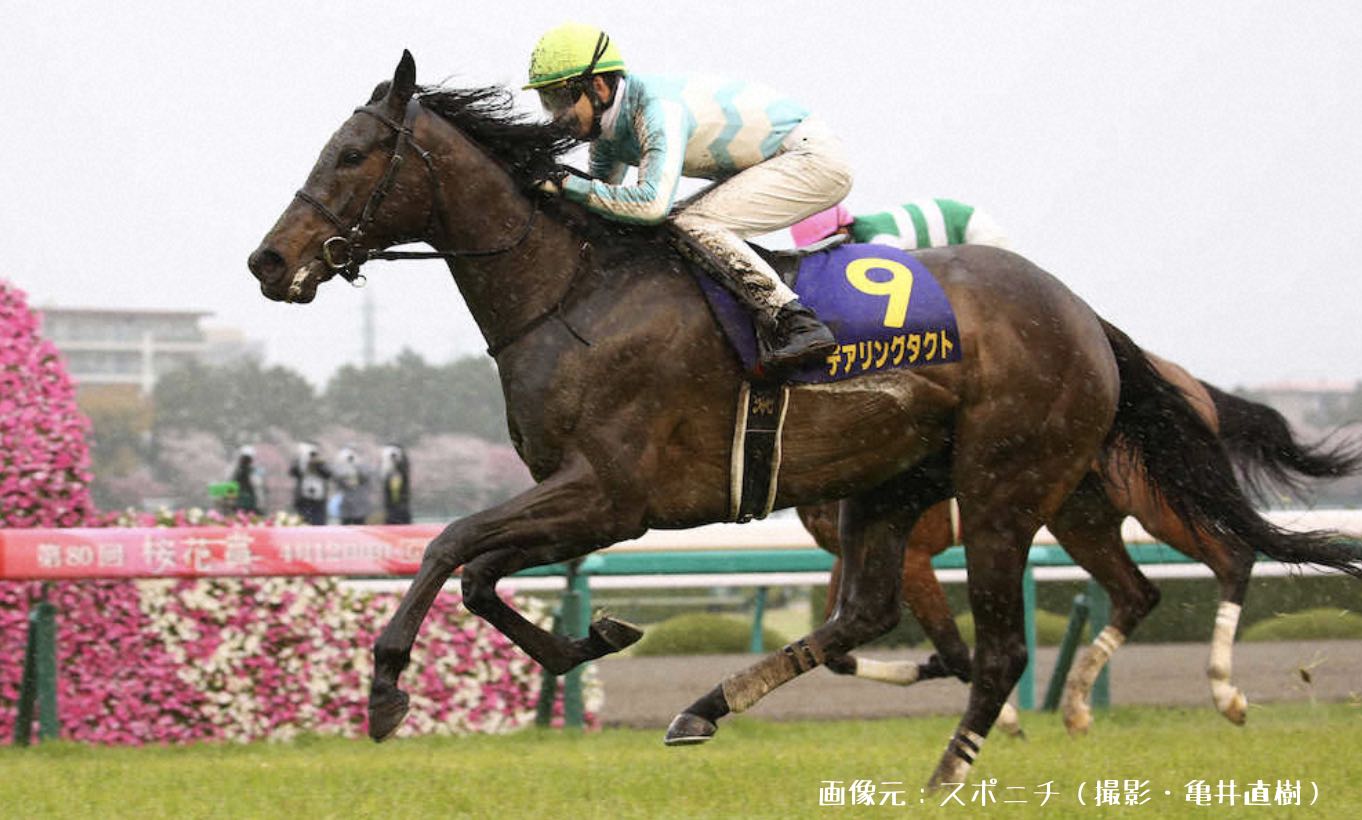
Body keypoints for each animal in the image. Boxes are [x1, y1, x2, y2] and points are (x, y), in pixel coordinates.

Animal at [800, 368, 1362, 734]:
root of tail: (1187, 382)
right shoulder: (850, 551)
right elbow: (837, 649)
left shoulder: (913, 553)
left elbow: (953, 648)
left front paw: (1004, 716)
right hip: (1081, 518)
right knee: (1137, 594)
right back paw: (1076, 707)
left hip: (1159, 501)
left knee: (1234, 558)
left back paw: (1226, 693)